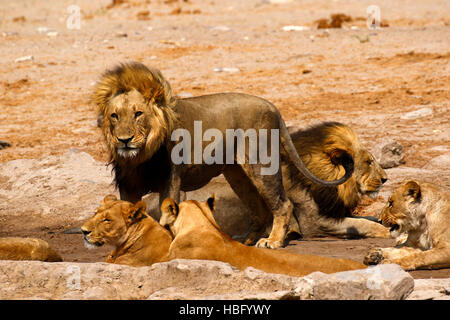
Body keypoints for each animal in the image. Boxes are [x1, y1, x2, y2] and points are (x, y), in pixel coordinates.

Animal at [91, 62, 354, 248]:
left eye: (138, 114)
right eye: (114, 116)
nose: (124, 140)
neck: (140, 157)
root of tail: (272, 106)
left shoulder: (171, 180)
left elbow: (167, 215)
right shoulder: (128, 185)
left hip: (261, 165)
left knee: (283, 204)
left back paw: (273, 241)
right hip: (237, 175)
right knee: (260, 209)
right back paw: (245, 240)